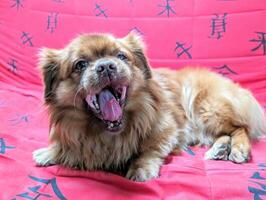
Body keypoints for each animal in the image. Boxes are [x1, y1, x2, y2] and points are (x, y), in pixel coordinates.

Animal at [32, 32, 264, 181]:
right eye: (80, 65)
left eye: (121, 56)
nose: (106, 66)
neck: (105, 133)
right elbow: (69, 148)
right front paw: (50, 152)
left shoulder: (168, 130)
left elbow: (150, 150)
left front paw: (141, 169)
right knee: (224, 134)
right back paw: (219, 149)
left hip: (207, 109)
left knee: (241, 128)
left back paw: (238, 150)